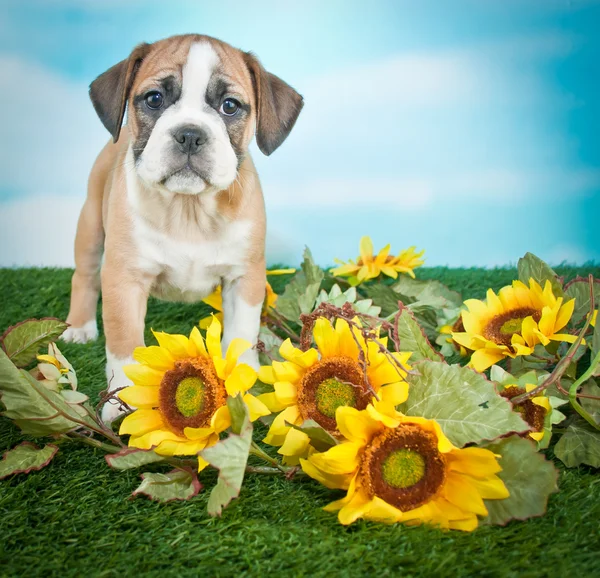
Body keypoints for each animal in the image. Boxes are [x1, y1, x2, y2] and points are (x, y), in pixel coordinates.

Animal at [62, 33, 300, 418]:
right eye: (154, 99)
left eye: (230, 106)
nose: (189, 134)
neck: (189, 209)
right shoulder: (123, 282)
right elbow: (125, 346)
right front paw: (123, 402)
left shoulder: (244, 278)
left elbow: (240, 335)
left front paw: (243, 386)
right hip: (90, 227)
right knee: (83, 276)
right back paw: (79, 327)